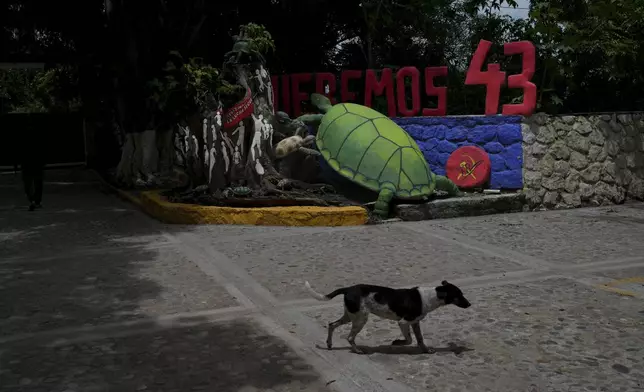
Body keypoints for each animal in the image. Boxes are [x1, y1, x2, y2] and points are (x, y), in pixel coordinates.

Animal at [304, 280, 470, 354]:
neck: (431, 296)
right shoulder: (403, 322)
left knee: (332, 324)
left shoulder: (415, 323)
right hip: (360, 319)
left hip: (350, 316)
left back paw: (329, 344)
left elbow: (420, 339)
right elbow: (409, 340)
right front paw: (397, 343)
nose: (469, 304)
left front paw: (426, 350)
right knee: (349, 337)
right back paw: (357, 350)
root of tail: (348, 289)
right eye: (459, 295)